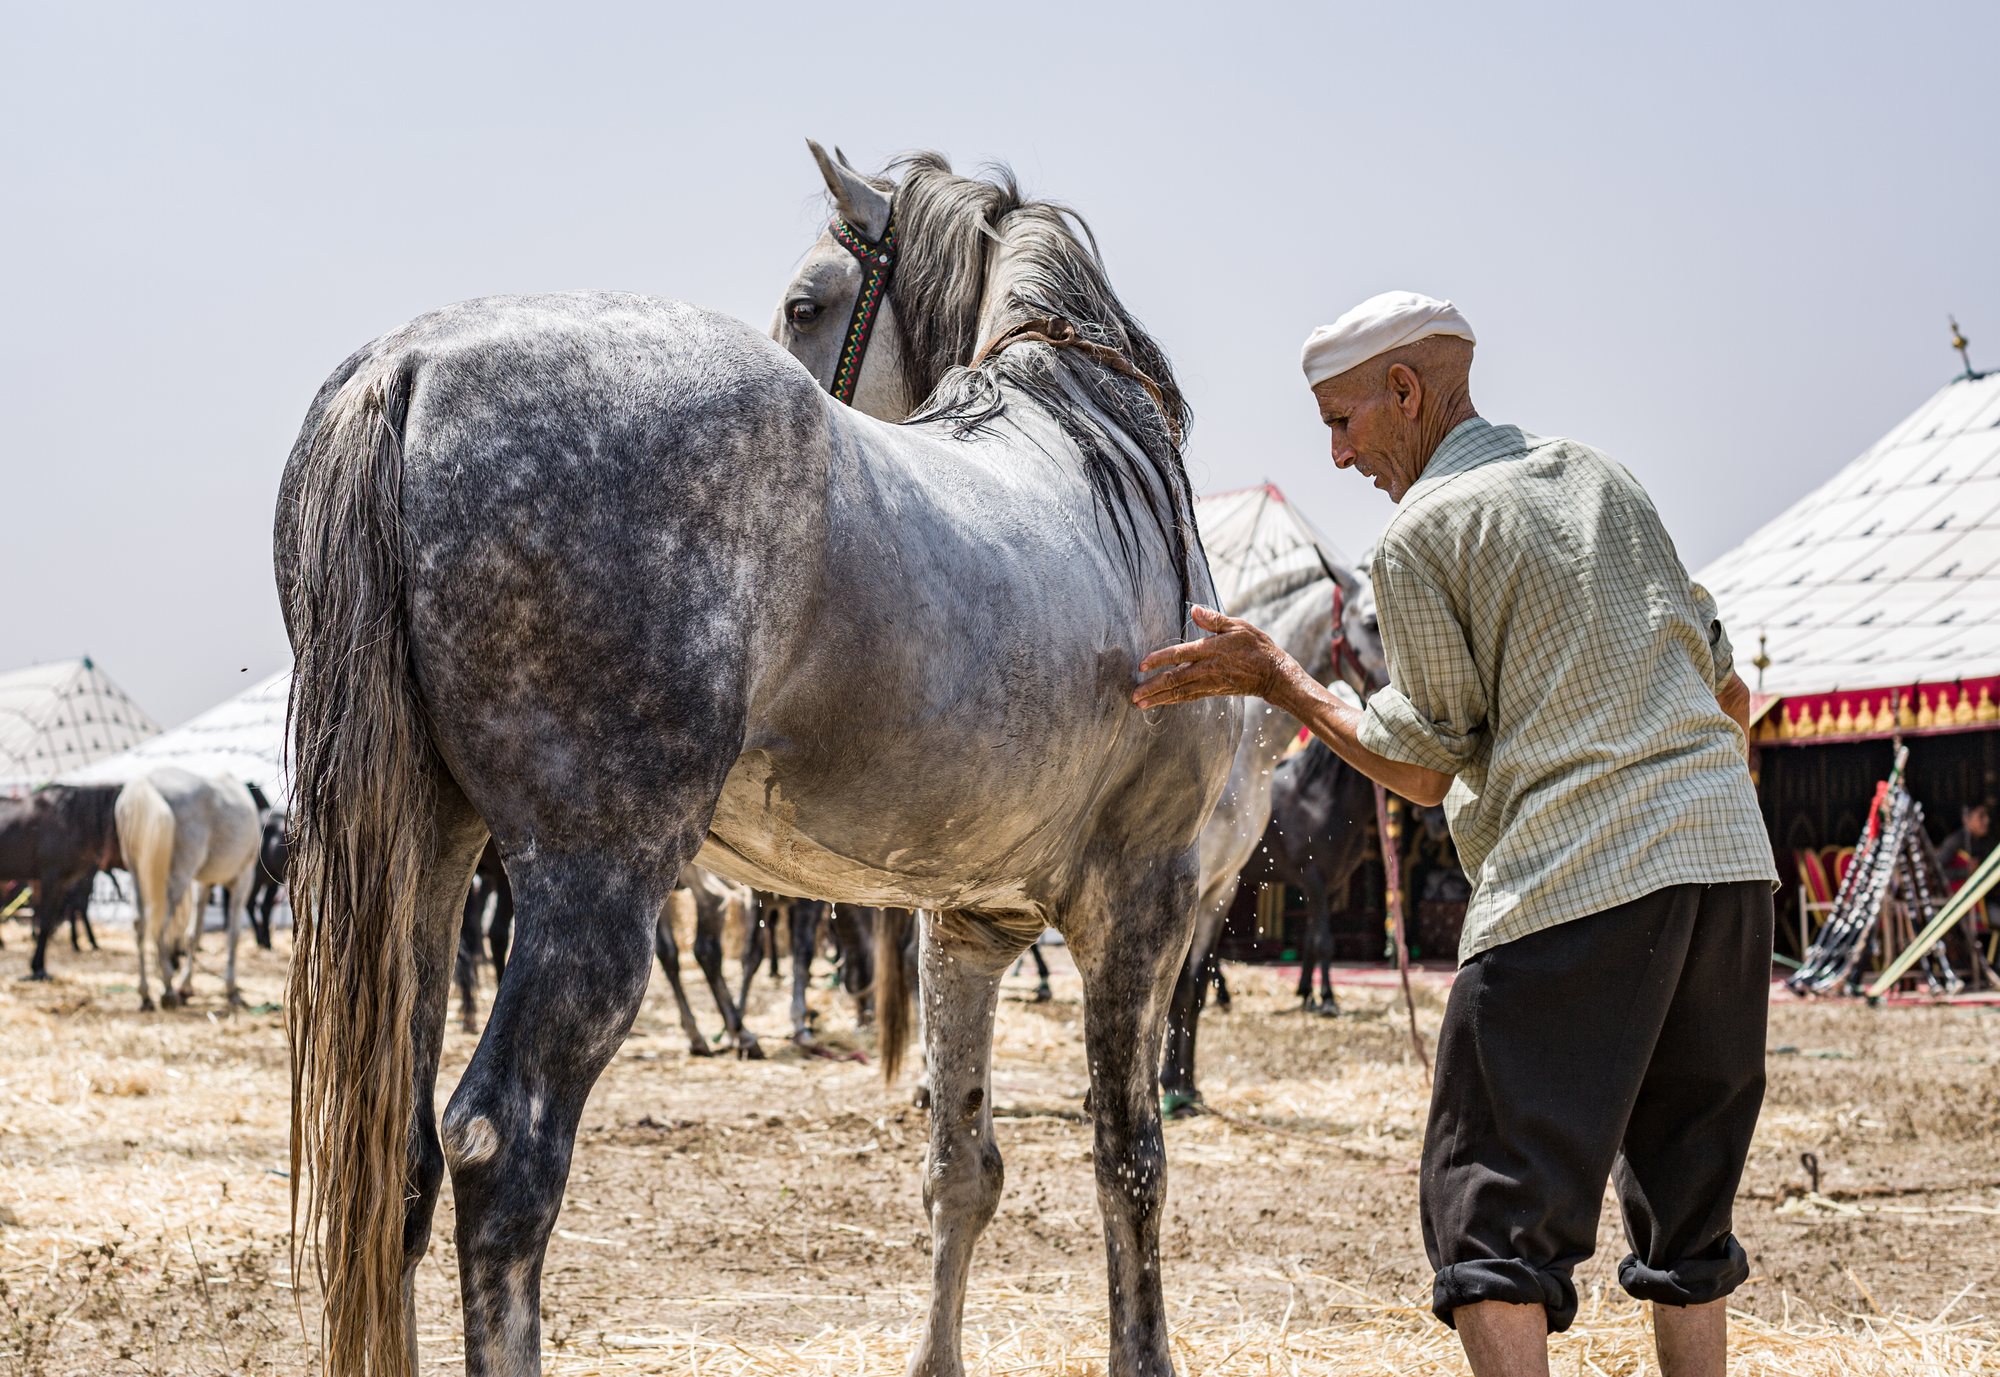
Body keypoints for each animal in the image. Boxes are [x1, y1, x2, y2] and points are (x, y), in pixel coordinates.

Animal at [114, 767, 261, 1010]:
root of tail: (146, 783)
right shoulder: (243, 879)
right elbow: (233, 934)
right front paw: (231, 989)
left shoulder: (202, 883)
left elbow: (194, 933)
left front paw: (187, 986)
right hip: (179, 875)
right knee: (159, 924)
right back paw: (167, 989)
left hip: (136, 871)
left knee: (140, 923)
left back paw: (146, 995)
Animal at [276, 143, 1234, 1377]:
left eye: (806, 303)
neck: (1088, 452)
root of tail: (410, 365)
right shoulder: (1141, 906)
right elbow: (1130, 1162)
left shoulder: (968, 928)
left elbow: (962, 1169)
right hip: (597, 884)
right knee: (503, 1154)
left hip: (425, 874)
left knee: (398, 1157)